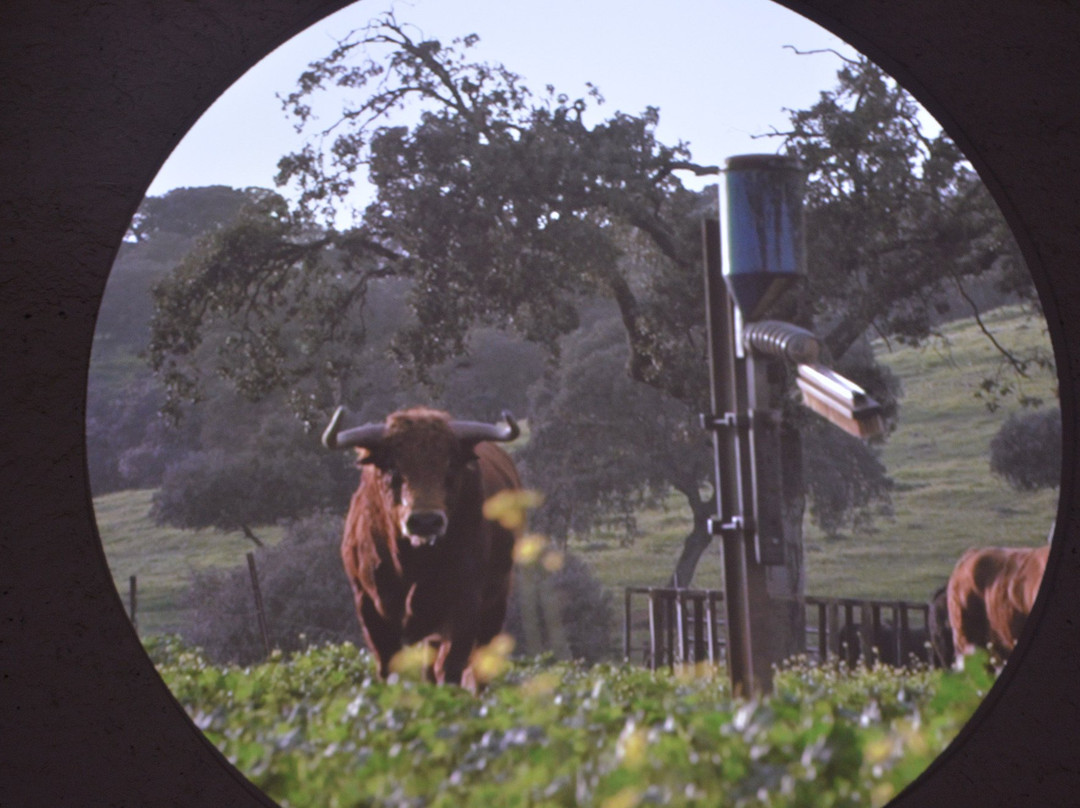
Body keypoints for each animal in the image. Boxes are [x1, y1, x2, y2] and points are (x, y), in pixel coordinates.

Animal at [319, 404, 522, 687]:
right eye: (392, 468)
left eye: (450, 467)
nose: (425, 521)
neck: (412, 564)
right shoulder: (369, 605)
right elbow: (389, 667)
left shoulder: (464, 605)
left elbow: (451, 667)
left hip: (495, 605)